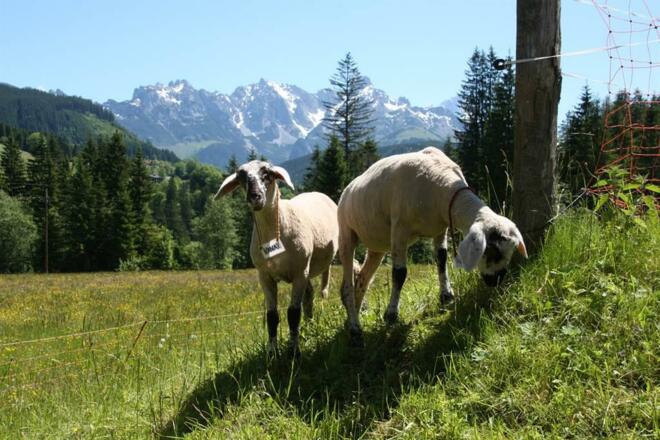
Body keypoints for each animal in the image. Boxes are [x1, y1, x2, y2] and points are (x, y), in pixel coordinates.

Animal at [215, 160, 338, 356]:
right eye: (241, 177)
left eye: (267, 174)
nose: (254, 197)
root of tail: (318, 193)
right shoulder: (265, 276)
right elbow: (272, 316)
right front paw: (272, 353)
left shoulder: (299, 273)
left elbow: (293, 314)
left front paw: (294, 351)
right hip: (306, 269)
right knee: (309, 295)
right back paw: (309, 327)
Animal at [337, 147, 527, 343]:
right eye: (491, 251)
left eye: (510, 252)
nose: (496, 280)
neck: (441, 186)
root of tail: (349, 188)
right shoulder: (399, 229)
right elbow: (399, 273)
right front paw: (391, 315)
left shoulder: (440, 228)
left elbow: (441, 259)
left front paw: (446, 295)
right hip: (346, 233)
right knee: (347, 286)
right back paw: (355, 329)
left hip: (377, 245)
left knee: (362, 281)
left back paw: (351, 319)